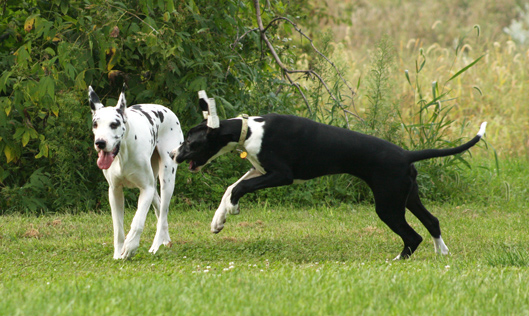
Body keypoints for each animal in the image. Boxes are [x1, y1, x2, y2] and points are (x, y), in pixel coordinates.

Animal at [88, 84, 184, 260]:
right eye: (95, 124)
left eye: (114, 124)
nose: (100, 143)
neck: (123, 154)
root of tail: (165, 109)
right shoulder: (115, 192)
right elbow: (118, 228)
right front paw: (118, 252)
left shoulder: (146, 189)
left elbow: (138, 221)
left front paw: (130, 246)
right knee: (159, 208)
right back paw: (165, 240)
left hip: (166, 179)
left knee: (163, 211)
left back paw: (155, 245)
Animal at [171, 91, 484, 260]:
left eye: (190, 142)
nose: (173, 154)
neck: (248, 130)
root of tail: (406, 155)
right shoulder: (257, 170)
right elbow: (230, 187)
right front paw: (218, 220)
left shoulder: (281, 175)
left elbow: (238, 189)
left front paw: (232, 210)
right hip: (407, 197)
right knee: (432, 222)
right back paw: (442, 253)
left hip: (388, 205)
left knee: (413, 235)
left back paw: (397, 259)